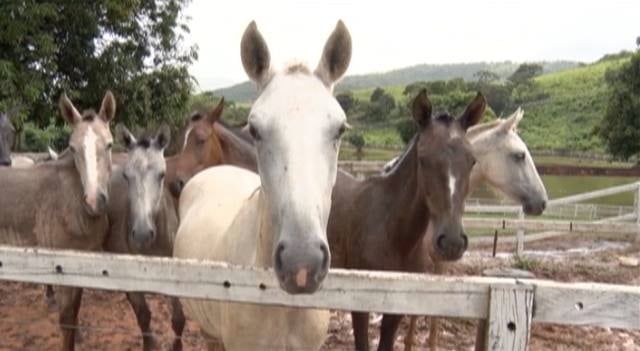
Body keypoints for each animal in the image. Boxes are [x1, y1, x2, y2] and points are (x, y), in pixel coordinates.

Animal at [0, 91, 116, 351]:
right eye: (73, 148)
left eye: (109, 144)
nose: (94, 202)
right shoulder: (61, 269)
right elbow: (66, 321)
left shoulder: (83, 266)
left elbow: (75, 314)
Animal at [328, 90, 482, 351]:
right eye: (423, 159)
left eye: (472, 160)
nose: (452, 242)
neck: (393, 233)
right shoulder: (359, 302)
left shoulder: (397, 306)